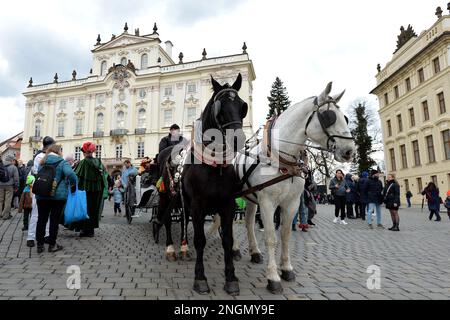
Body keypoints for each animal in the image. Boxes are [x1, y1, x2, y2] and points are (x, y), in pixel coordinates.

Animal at [181, 74, 248, 296]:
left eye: (242, 106)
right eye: (220, 107)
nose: (238, 139)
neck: (214, 166)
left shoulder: (228, 205)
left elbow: (227, 239)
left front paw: (231, 277)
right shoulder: (197, 206)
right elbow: (200, 239)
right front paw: (200, 277)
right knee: (181, 223)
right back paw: (181, 248)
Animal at [236, 82, 356, 292]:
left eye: (346, 118)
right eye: (329, 117)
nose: (350, 151)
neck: (280, 158)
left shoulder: (291, 203)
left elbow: (285, 235)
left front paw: (286, 269)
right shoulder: (267, 203)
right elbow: (271, 237)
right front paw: (273, 277)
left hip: (250, 199)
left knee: (249, 222)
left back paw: (255, 252)